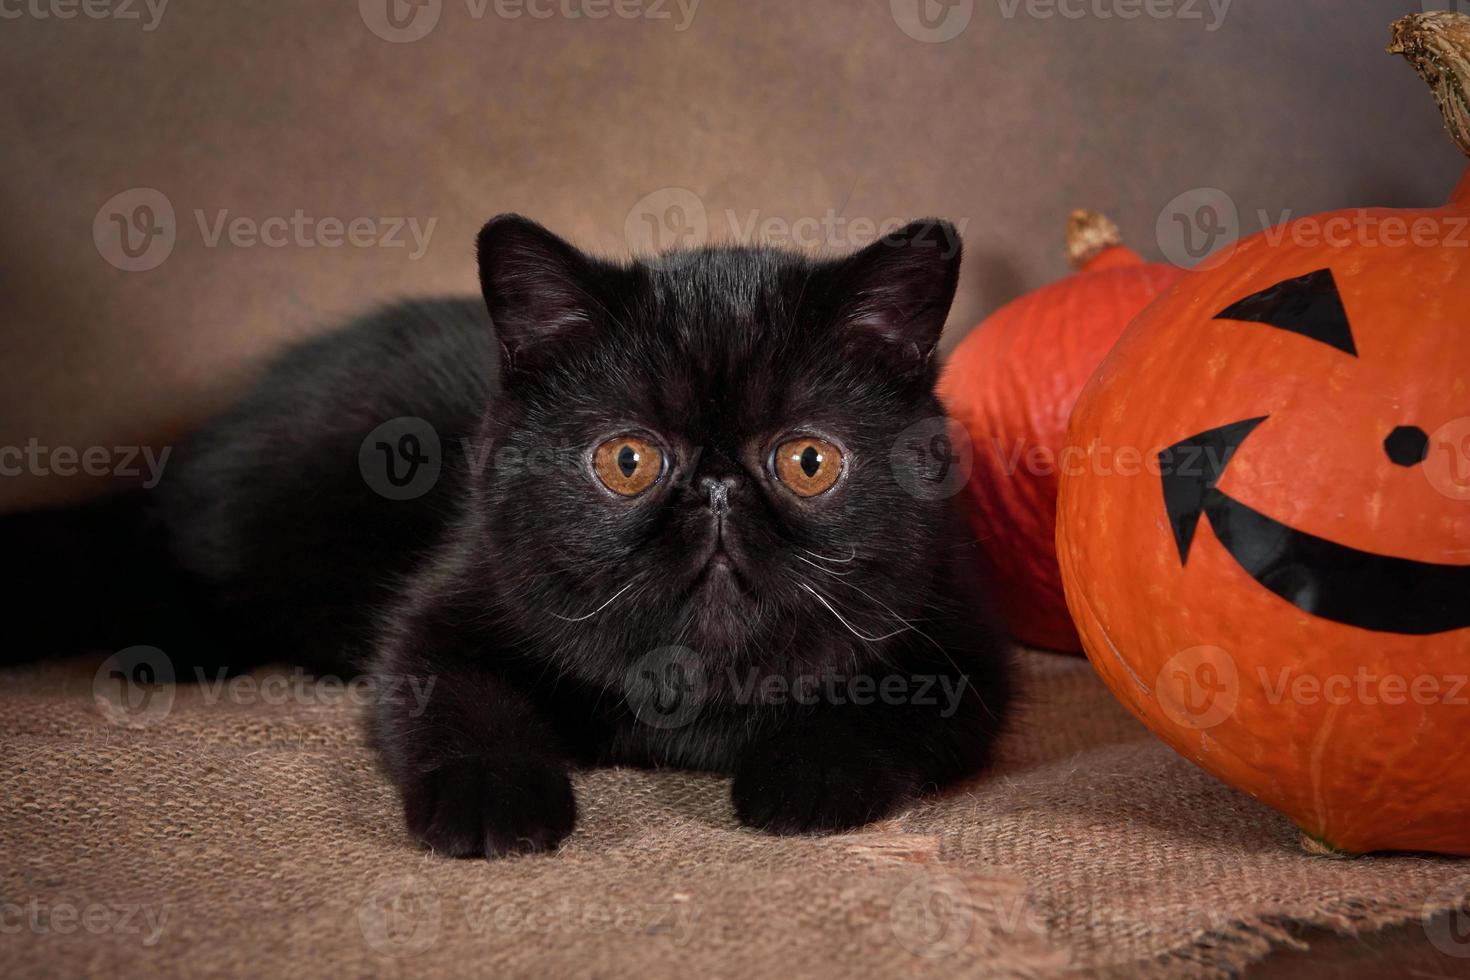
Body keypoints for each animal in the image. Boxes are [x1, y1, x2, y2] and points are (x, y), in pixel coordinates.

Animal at [160, 215, 1011, 858]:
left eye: (809, 462)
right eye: (627, 461)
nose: (717, 490)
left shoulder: (957, 639)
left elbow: (880, 708)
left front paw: (809, 778)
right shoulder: (448, 606)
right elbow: (459, 696)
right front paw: (490, 797)